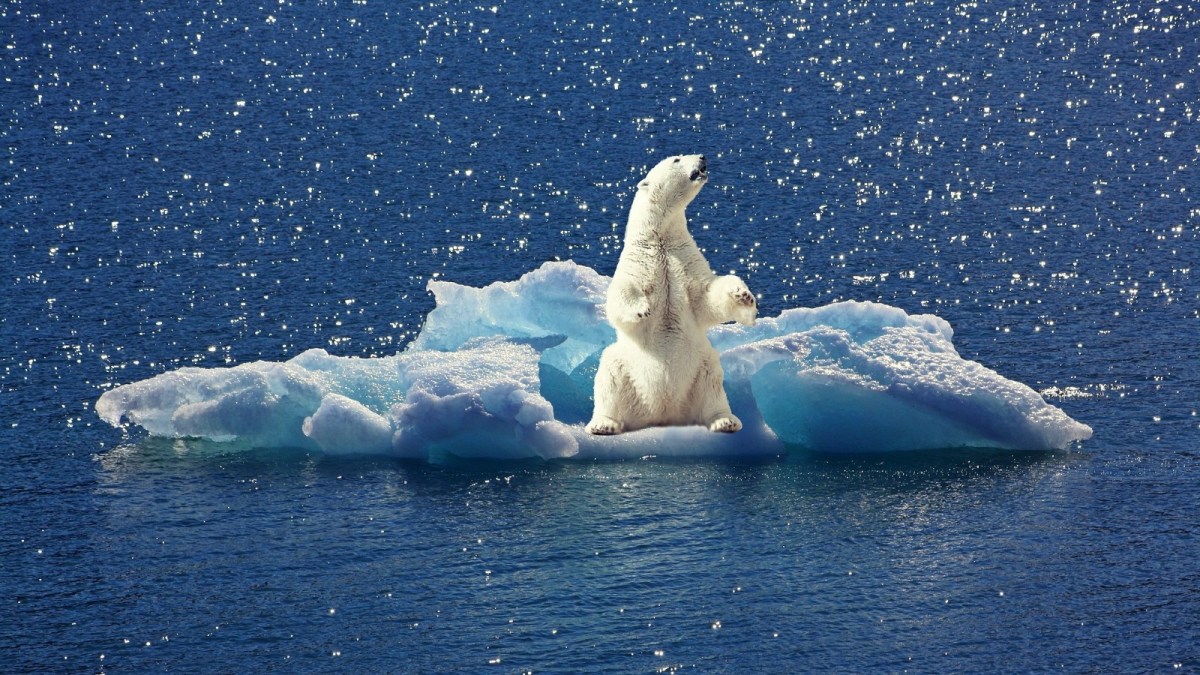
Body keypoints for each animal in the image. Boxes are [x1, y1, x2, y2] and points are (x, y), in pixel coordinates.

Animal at [586, 154, 757, 436]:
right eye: (677, 159)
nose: (702, 156)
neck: (661, 239)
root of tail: (663, 413)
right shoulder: (639, 262)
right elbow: (620, 293)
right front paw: (642, 308)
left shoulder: (685, 261)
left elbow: (706, 296)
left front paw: (743, 296)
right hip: (625, 366)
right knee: (609, 375)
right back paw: (604, 424)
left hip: (701, 365)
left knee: (713, 384)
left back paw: (725, 421)